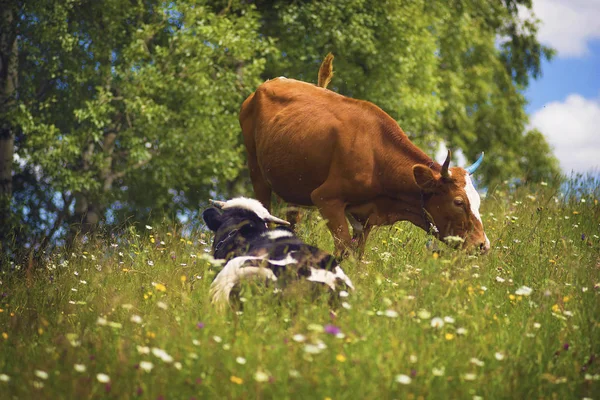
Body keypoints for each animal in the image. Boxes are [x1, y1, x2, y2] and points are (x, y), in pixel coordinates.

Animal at [239, 54, 488, 256]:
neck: (376, 157)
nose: (482, 245)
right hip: (256, 171)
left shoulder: (365, 216)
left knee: (292, 223)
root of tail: (269, 83)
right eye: (458, 202)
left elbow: (359, 253)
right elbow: (343, 249)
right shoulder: (326, 198)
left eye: (477, 200)